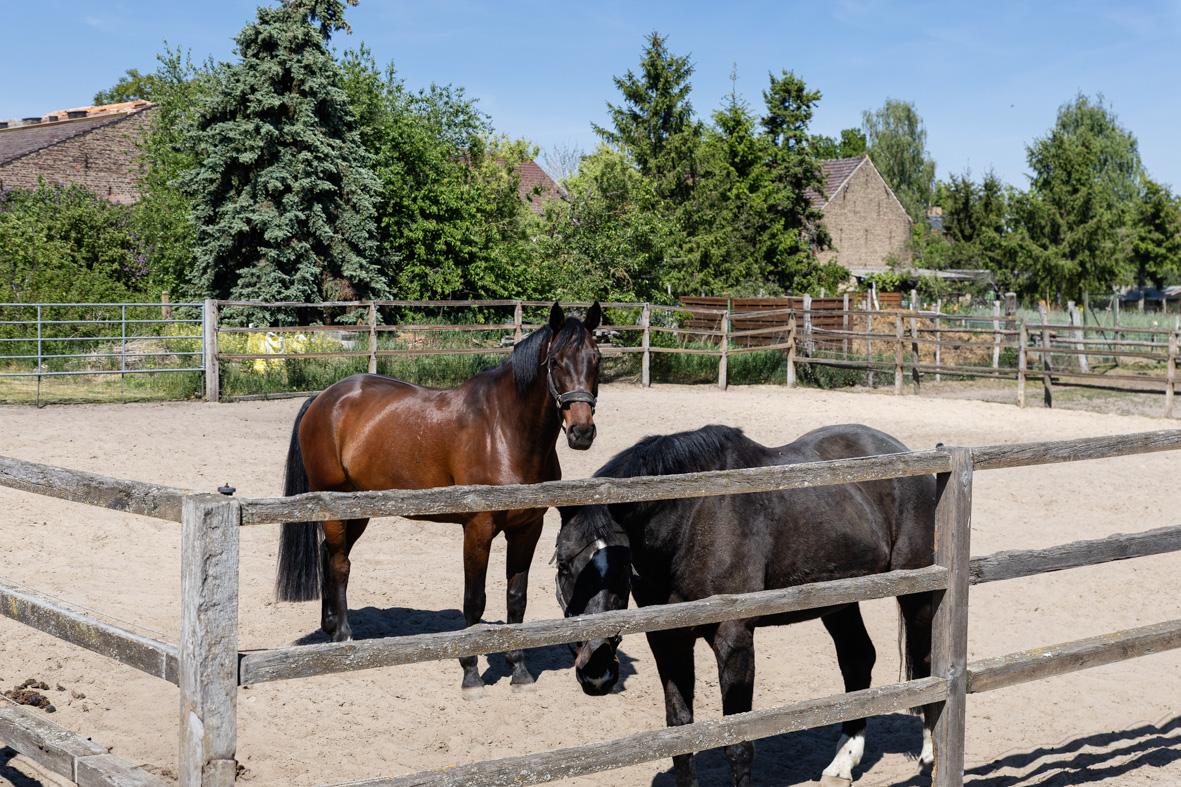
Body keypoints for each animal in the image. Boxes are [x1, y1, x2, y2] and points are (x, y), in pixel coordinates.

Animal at [277, 301, 602, 693]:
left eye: (597, 358)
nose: (582, 432)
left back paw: (329, 627)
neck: (504, 430)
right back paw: (342, 636)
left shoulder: (527, 529)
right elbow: (474, 601)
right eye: (556, 362)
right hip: (336, 505)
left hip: (359, 508)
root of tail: (324, 399)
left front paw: (519, 669)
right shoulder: (477, 529)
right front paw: (471, 673)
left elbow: (516, 598)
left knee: (330, 555)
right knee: (339, 563)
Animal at [554, 424, 938, 787]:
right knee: (858, 659)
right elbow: (680, 733)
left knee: (927, 662)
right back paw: (842, 764)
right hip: (840, 601)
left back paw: (930, 758)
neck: (692, 518)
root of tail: (901, 451)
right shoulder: (668, 639)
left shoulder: (734, 637)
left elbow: (737, 743)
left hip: (917, 592)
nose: (596, 672)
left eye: (622, 567)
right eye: (563, 565)